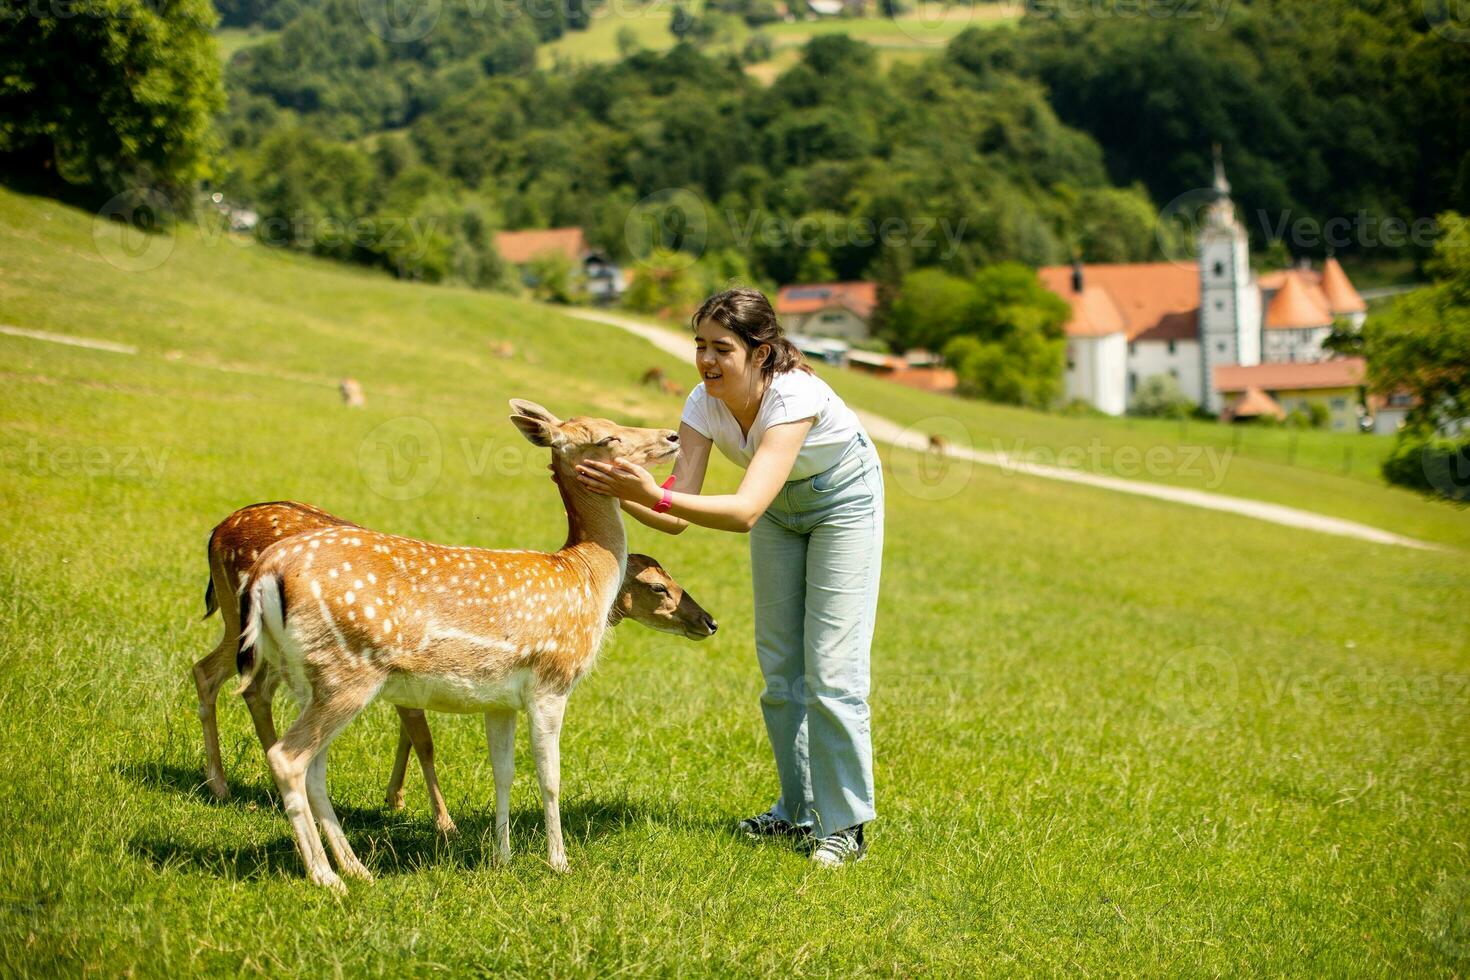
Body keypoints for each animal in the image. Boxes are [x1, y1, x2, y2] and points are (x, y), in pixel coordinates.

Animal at [192, 505, 720, 834]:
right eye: (658, 587)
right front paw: (443, 821)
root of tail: (215, 532)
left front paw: (397, 799)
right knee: (214, 675)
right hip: (245, 626)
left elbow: (412, 731)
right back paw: (223, 784)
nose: (709, 620)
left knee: (239, 684)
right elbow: (424, 738)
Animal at [236, 402, 682, 893]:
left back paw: (356, 868)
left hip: (305, 676)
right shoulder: (552, 680)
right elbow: (550, 777)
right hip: (346, 672)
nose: (673, 436)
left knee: (314, 766)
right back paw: (326, 877)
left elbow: (503, 773)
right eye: (606, 437)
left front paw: (502, 858)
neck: (585, 576)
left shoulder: (500, 700)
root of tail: (266, 574)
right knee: (288, 757)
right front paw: (559, 863)